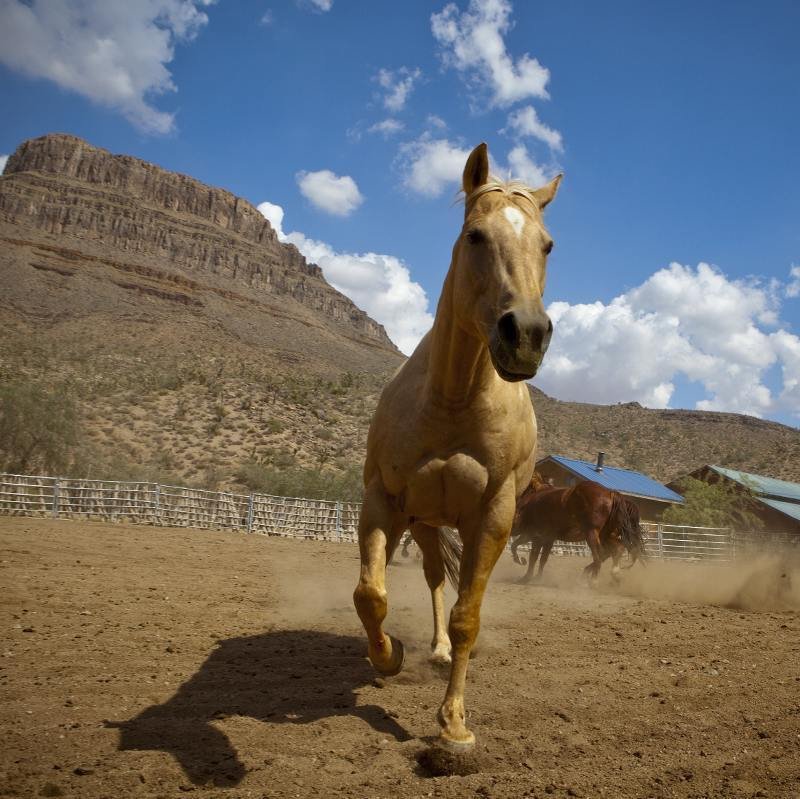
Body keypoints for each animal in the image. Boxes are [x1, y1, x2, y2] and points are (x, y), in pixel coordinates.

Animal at [352, 142, 561, 751]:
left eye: (547, 244)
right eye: (475, 235)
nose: (527, 334)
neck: (451, 399)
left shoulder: (494, 518)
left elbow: (469, 616)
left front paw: (453, 727)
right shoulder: (383, 503)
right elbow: (370, 595)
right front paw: (388, 655)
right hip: (423, 523)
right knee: (427, 579)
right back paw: (429, 648)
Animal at [510, 476, 647, 582]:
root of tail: (612, 494)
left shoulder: (536, 535)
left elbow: (532, 557)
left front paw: (526, 576)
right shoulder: (547, 538)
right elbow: (542, 558)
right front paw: (536, 577)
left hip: (592, 533)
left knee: (600, 555)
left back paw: (593, 580)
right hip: (607, 535)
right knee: (616, 549)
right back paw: (612, 574)